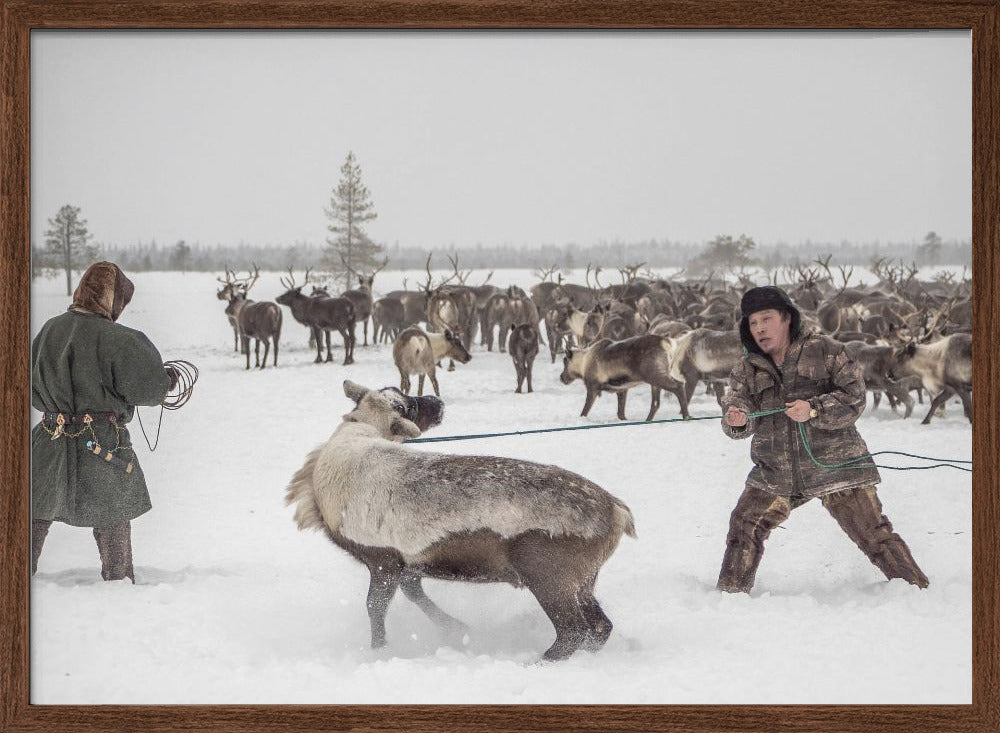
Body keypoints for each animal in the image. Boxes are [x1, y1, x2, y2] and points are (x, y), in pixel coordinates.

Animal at [285, 380, 636, 661]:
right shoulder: (408, 562)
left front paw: (380, 651)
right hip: (583, 580)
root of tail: (619, 513)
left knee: (573, 631)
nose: (437, 402)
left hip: (549, 577)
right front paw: (456, 629)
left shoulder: (383, 559)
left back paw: (536, 661)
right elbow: (413, 592)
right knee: (600, 626)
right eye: (406, 402)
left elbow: (375, 606)